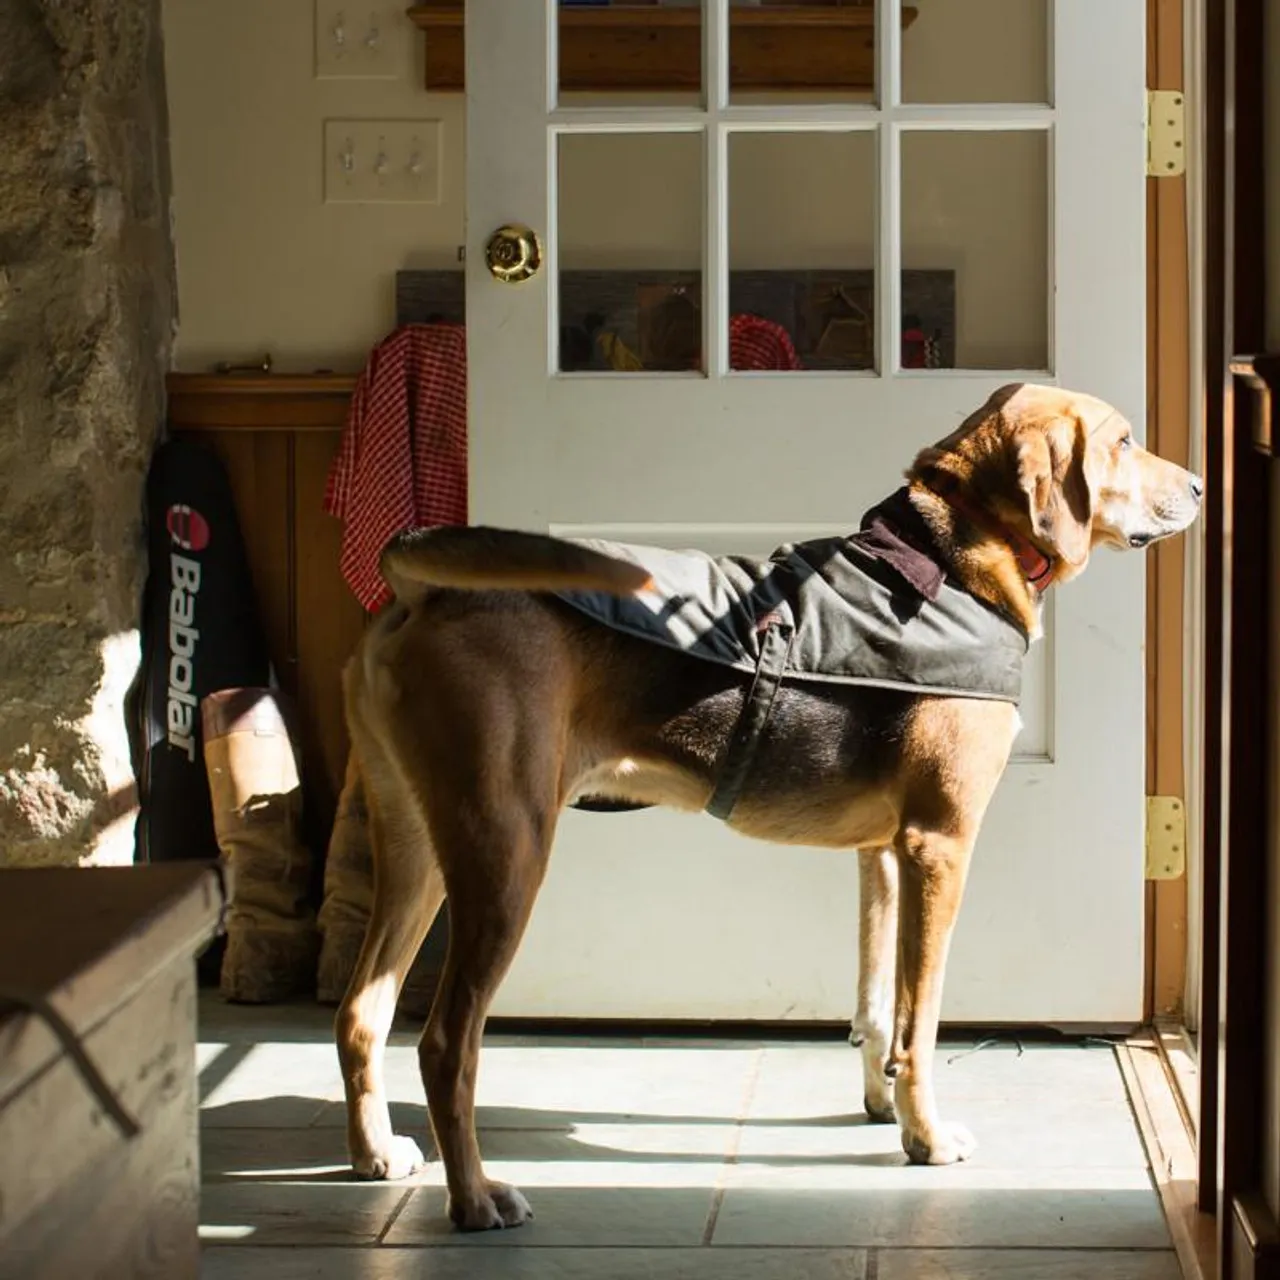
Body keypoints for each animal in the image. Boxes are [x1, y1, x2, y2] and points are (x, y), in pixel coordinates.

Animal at [332, 381, 1198, 1228]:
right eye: (1124, 441)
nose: (1195, 488)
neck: (955, 557)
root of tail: (423, 591)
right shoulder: (938, 845)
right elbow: (919, 1023)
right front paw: (926, 1139)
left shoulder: (884, 856)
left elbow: (877, 1008)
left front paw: (882, 1107)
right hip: (505, 852)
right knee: (447, 1042)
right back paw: (475, 1197)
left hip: (414, 847)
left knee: (361, 1014)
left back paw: (376, 1155)